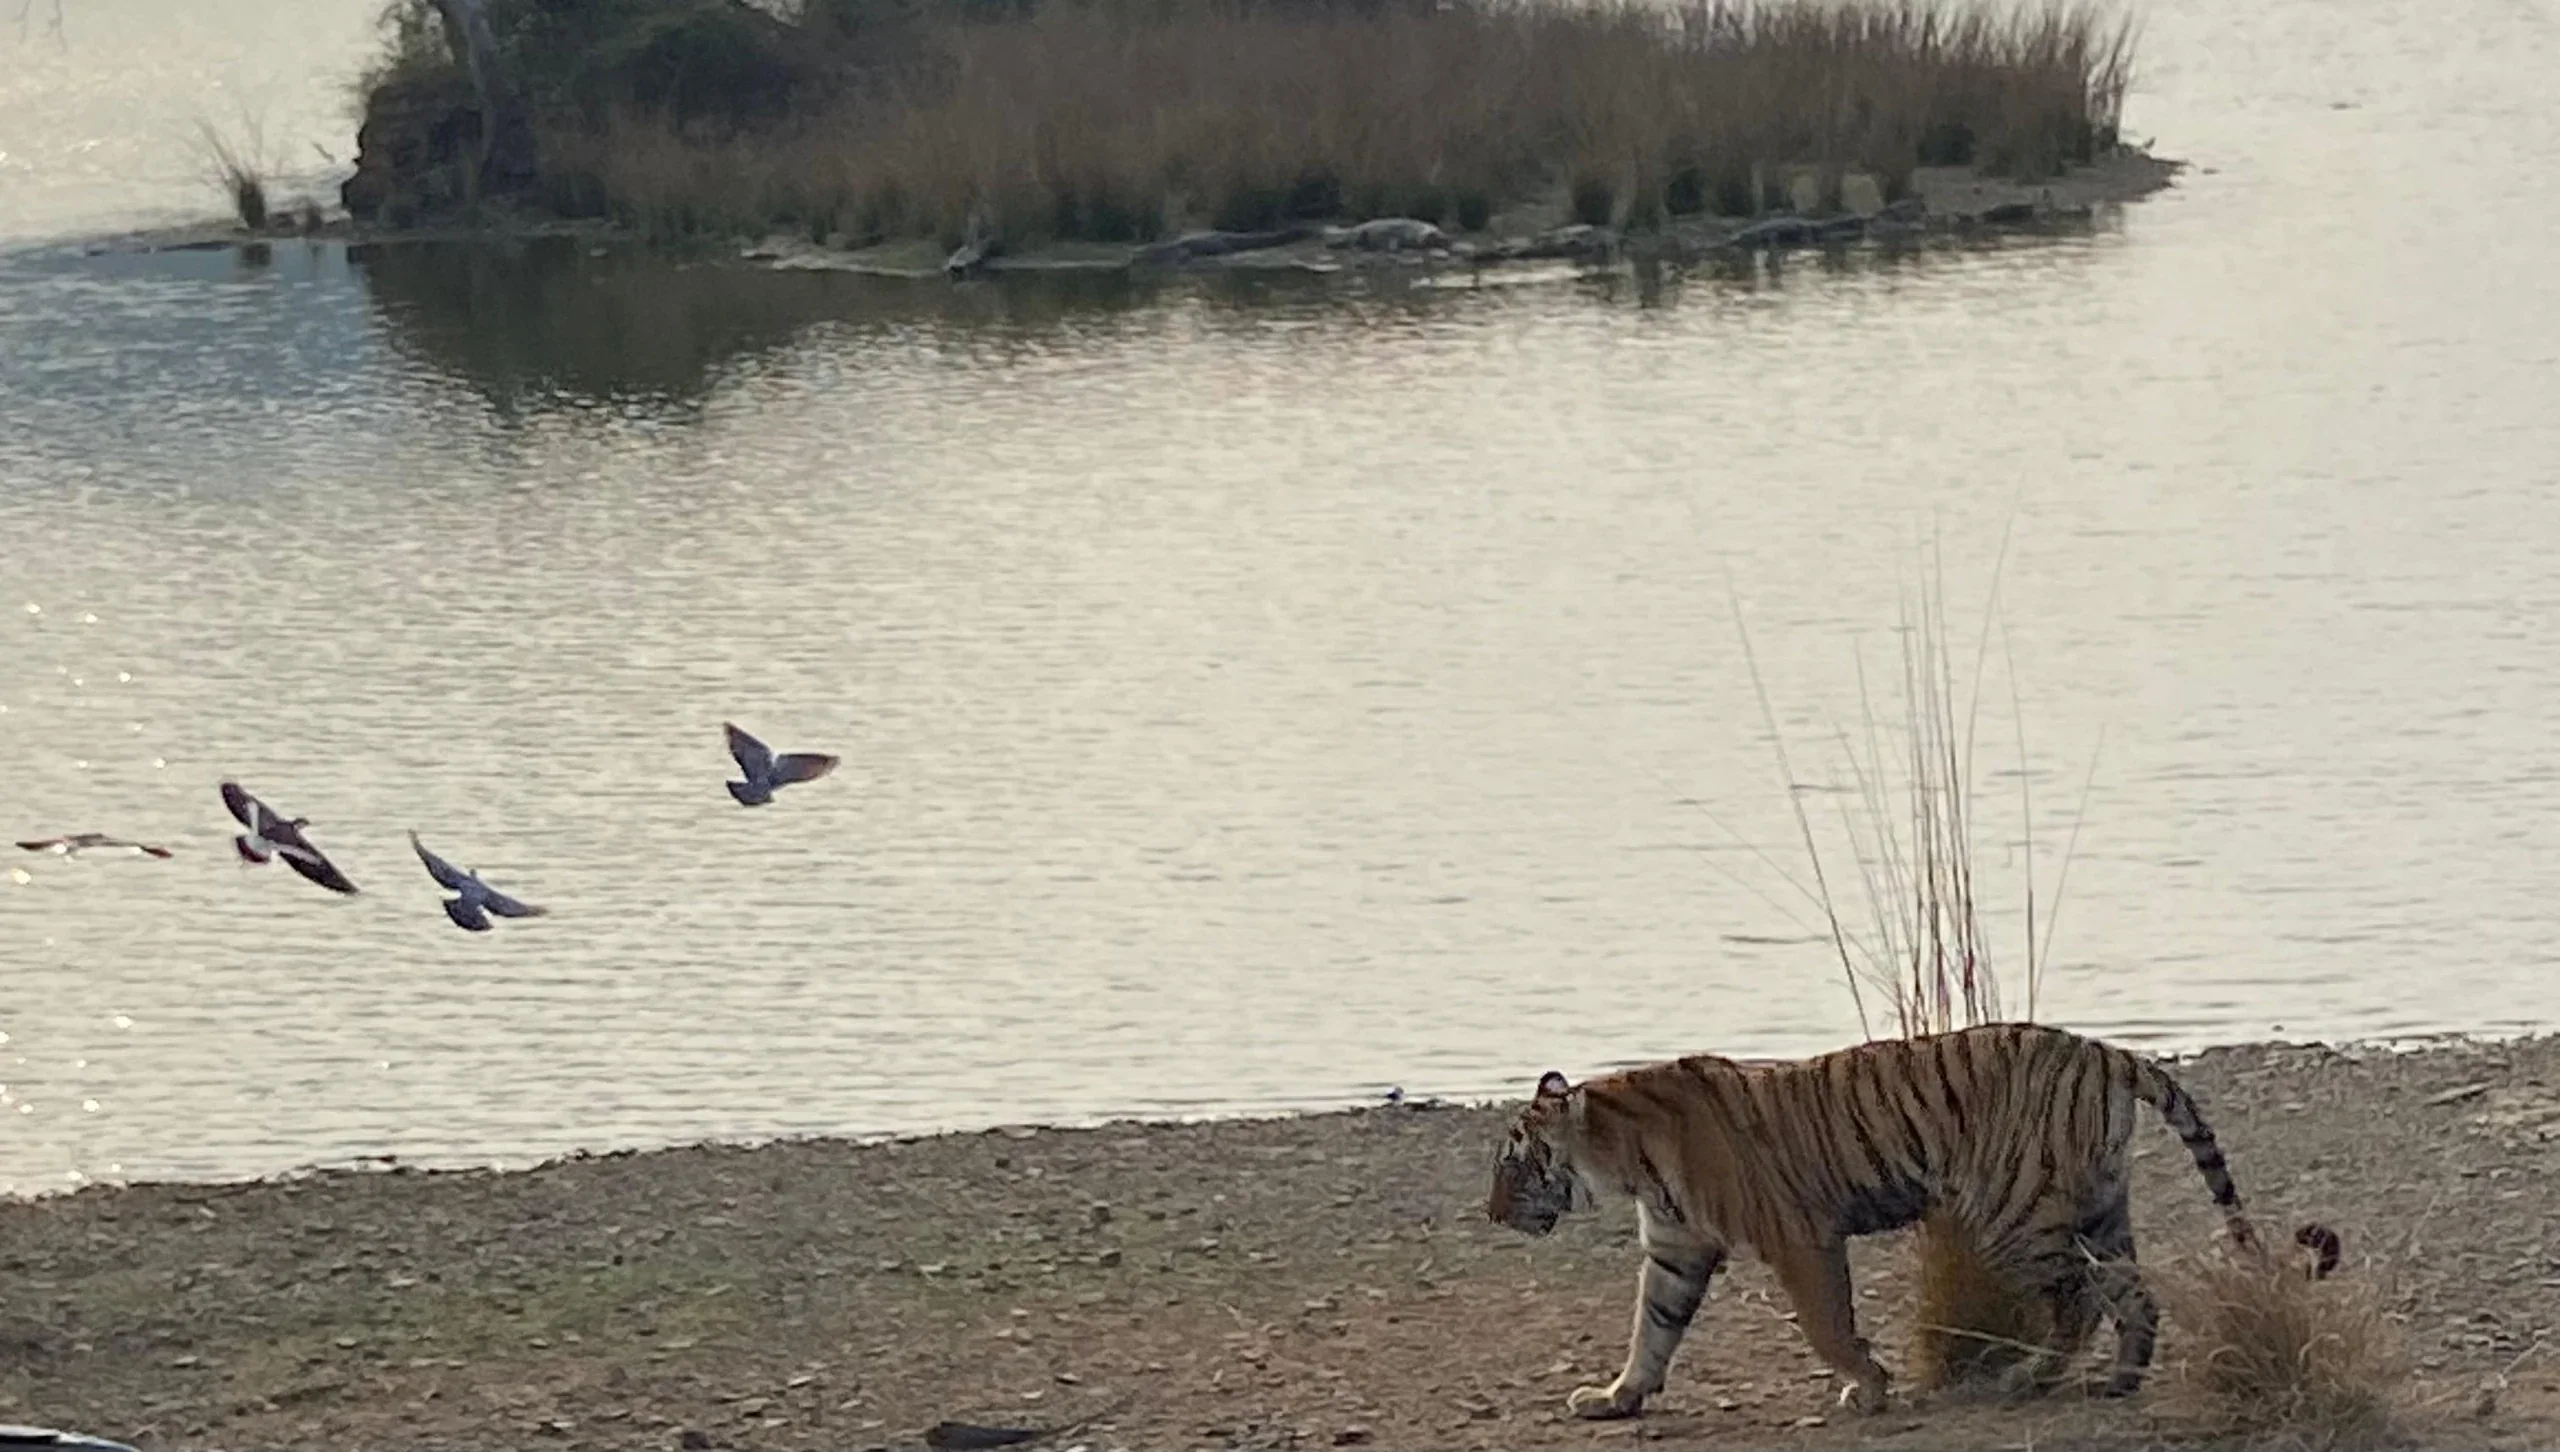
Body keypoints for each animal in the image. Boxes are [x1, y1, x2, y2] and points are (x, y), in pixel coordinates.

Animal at [1485, 1021, 2336, 1420]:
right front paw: (1617, 1397)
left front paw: (1868, 1388)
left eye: (1515, 1163)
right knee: (2133, 1295)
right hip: (2098, 1207)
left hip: (2015, 1214)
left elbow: (1827, 1325)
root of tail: (2102, 1050)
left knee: (2077, 1300)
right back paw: (2118, 1383)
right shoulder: (1674, 1249)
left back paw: (2032, 1379)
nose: (1490, 1215)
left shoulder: (1801, 1236)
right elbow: (1651, 1328)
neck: (1623, 1156)